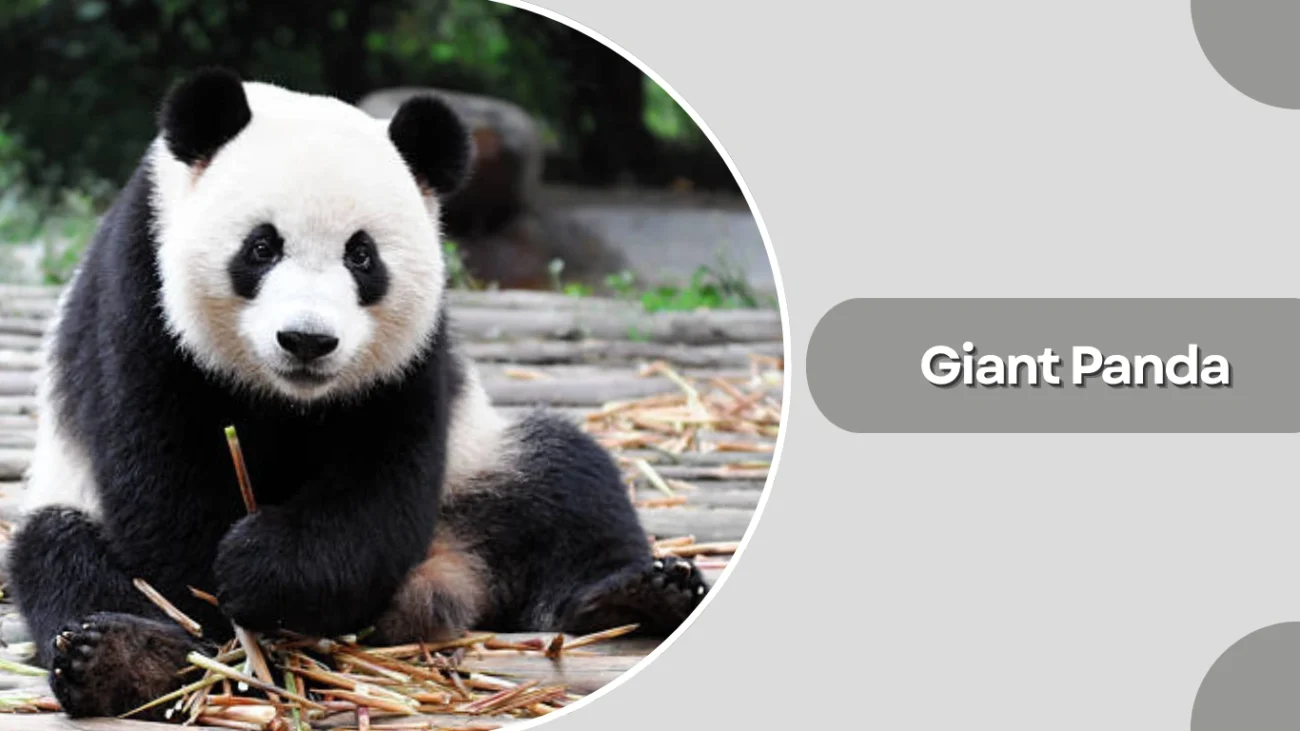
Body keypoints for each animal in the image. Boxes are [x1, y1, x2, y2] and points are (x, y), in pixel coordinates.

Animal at [5, 68, 709, 720]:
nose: (307, 341)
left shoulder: (411, 359)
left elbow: (382, 486)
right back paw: (124, 661)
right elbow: (162, 478)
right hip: (66, 492)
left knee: (563, 477)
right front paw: (224, 621)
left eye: (361, 256)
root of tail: (452, 576)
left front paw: (261, 573)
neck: (286, 397)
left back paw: (636, 593)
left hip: (478, 466)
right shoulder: (138, 297)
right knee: (58, 554)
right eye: (262, 246)